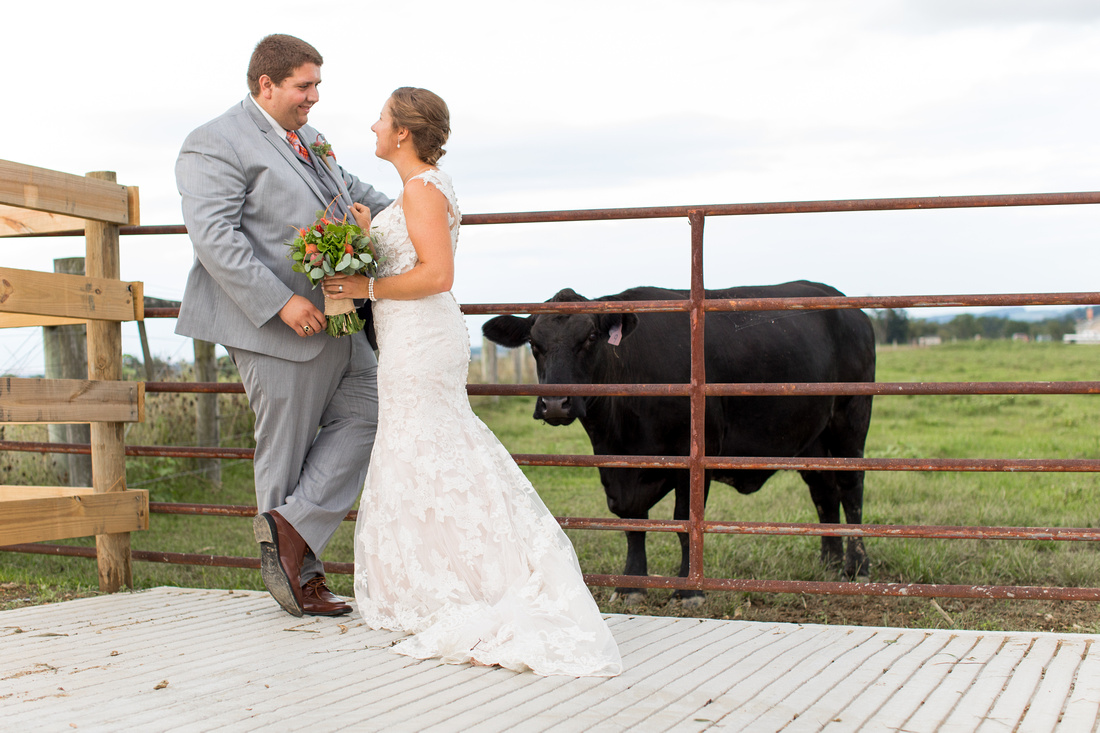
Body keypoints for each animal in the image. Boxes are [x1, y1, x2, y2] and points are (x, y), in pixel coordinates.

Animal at [481, 279, 875, 603]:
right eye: (534, 343)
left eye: (590, 338)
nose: (554, 403)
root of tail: (848, 306)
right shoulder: (616, 466)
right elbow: (632, 522)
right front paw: (631, 584)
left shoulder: (696, 456)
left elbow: (685, 522)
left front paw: (688, 589)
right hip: (813, 438)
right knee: (824, 491)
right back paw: (828, 562)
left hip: (850, 420)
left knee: (851, 488)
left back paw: (857, 566)